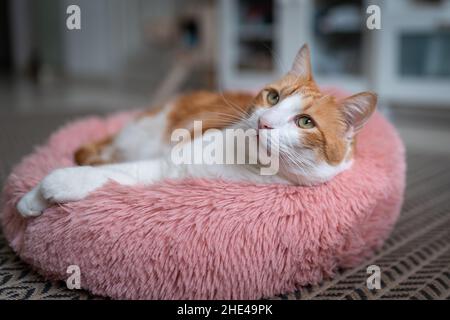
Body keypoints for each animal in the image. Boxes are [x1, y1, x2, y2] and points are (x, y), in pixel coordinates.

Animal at [16, 44, 376, 218]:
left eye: (305, 122)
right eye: (273, 97)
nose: (265, 121)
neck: (239, 161)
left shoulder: (164, 171)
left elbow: (109, 175)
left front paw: (55, 186)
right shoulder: (168, 160)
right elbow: (111, 170)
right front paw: (31, 198)